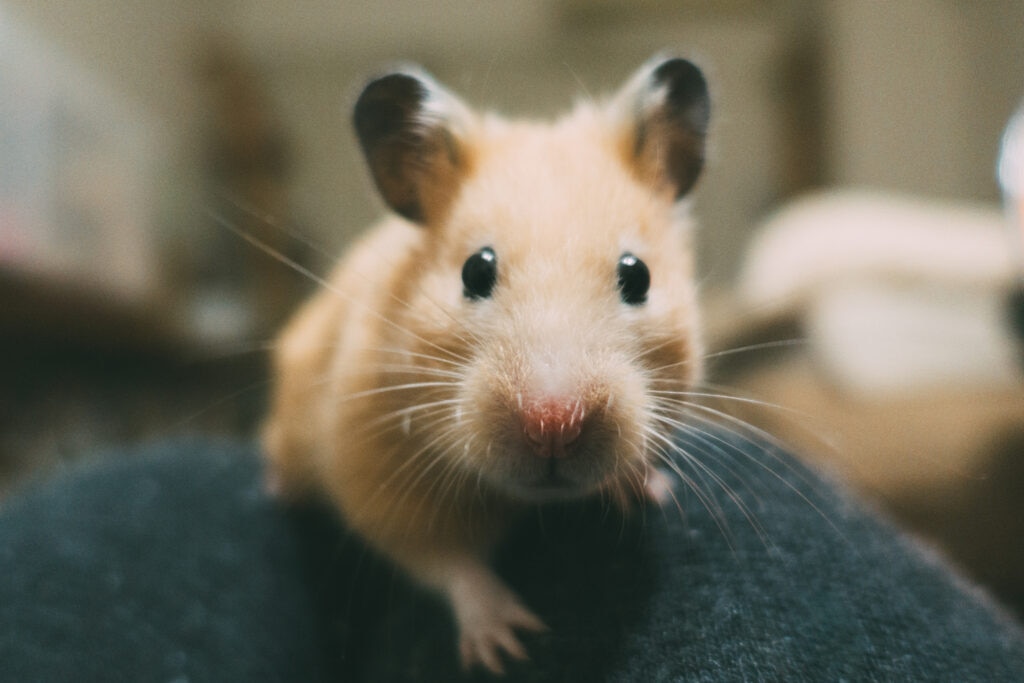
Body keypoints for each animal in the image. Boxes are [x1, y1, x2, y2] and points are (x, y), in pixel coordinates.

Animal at [262, 55, 710, 674]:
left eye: (638, 276)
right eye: (476, 270)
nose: (554, 427)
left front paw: (647, 488)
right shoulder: (374, 469)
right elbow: (445, 562)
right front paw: (511, 645)